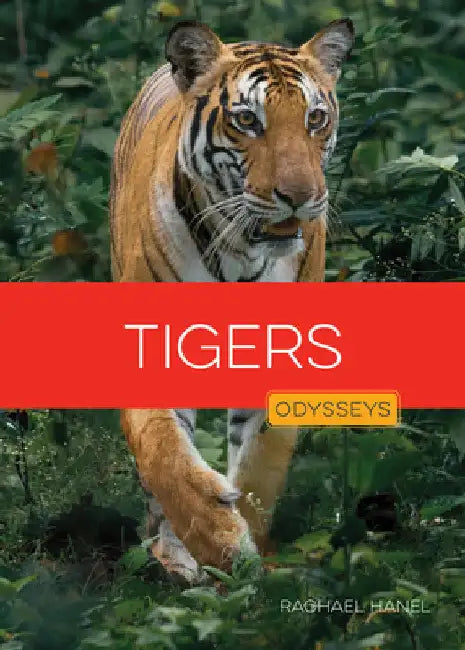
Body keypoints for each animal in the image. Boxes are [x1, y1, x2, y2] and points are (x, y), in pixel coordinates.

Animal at [110, 18, 354, 582]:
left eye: (315, 119)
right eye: (247, 120)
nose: (299, 196)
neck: (240, 250)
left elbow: (262, 461)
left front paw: (249, 556)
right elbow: (164, 451)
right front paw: (217, 541)